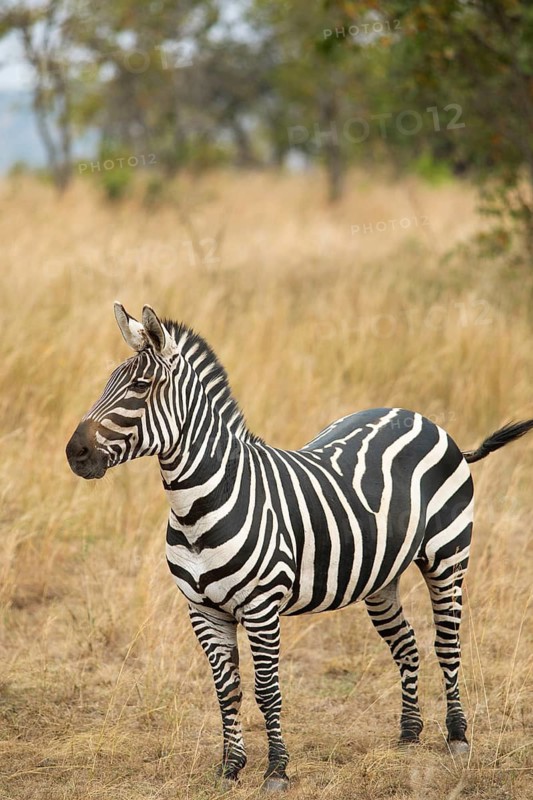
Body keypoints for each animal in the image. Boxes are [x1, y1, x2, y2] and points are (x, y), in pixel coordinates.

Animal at [66, 302, 533, 791]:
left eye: (140, 387)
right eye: (108, 381)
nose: (74, 453)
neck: (196, 506)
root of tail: (425, 420)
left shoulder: (261, 607)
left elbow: (267, 689)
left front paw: (276, 770)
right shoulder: (202, 610)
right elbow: (226, 690)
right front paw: (230, 768)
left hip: (448, 558)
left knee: (446, 643)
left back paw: (457, 737)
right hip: (381, 576)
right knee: (407, 645)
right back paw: (408, 736)